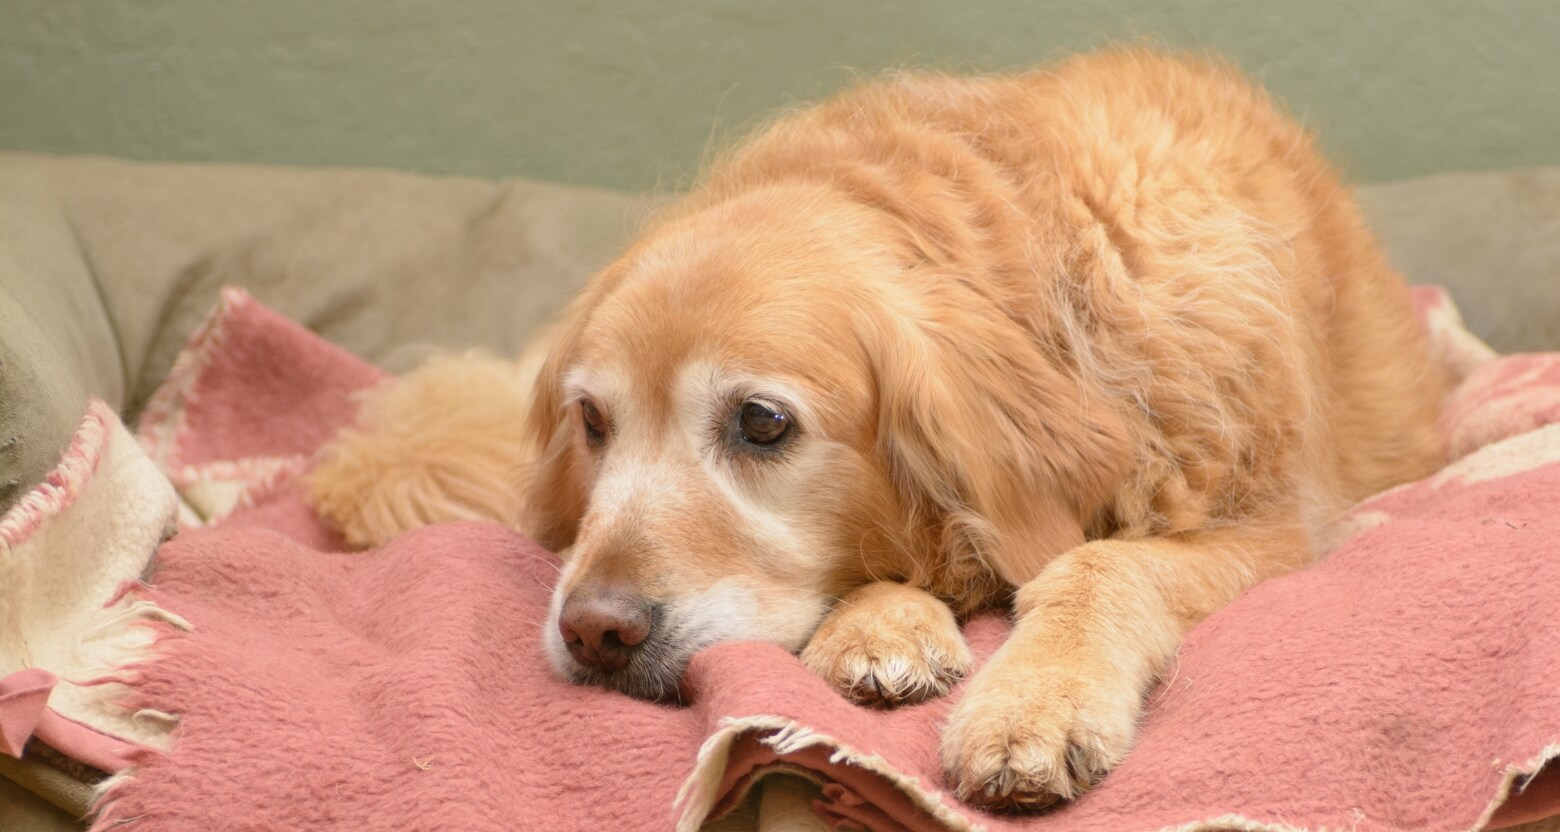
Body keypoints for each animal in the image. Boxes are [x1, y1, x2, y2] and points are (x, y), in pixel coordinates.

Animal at [307, 48, 1447, 805]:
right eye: (593, 419)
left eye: (762, 423)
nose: (595, 630)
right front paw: (882, 624)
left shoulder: (1273, 526)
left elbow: (1099, 563)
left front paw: (1034, 700)